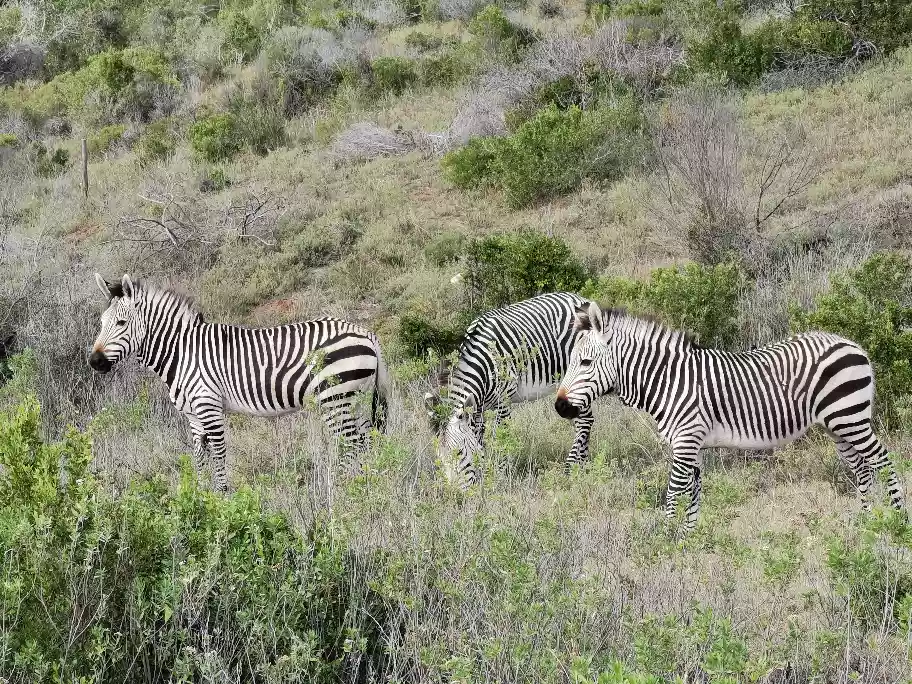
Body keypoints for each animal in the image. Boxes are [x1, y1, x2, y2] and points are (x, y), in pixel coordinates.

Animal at [89, 274, 389, 491]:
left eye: (121, 323)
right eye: (101, 322)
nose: (94, 362)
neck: (182, 352)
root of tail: (367, 333)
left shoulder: (209, 407)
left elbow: (219, 454)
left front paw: (223, 498)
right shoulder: (193, 417)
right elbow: (200, 458)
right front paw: (199, 499)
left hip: (334, 399)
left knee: (352, 443)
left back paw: (340, 486)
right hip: (357, 399)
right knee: (367, 440)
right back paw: (367, 482)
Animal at [423, 291, 594, 487]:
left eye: (459, 452)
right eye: (438, 457)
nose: (455, 493)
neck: (484, 362)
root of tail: (578, 298)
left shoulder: (503, 402)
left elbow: (501, 438)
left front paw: (499, 476)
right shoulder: (479, 408)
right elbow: (479, 440)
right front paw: (484, 474)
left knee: (585, 420)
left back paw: (571, 468)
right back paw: (583, 465)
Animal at [555, 300, 905, 531]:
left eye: (585, 363)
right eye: (571, 361)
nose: (559, 407)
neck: (669, 381)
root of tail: (853, 344)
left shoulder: (685, 441)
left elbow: (674, 492)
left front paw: (665, 543)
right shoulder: (692, 445)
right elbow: (693, 493)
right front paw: (687, 541)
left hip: (851, 418)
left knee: (883, 460)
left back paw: (897, 519)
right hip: (838, 426)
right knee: (862, 467)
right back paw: (866, 521)